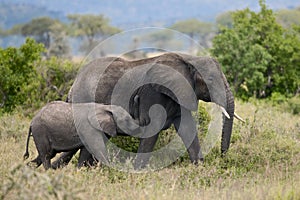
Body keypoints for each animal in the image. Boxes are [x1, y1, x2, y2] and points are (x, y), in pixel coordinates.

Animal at [69, 52, 234, 170]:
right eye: (210, 79)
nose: (223, 158)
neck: (189, 59)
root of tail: (74, 83)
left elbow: (188, 128)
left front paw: (199, 168)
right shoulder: (153, 95)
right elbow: (152, 129)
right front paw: (138, 172)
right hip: (83, 97)